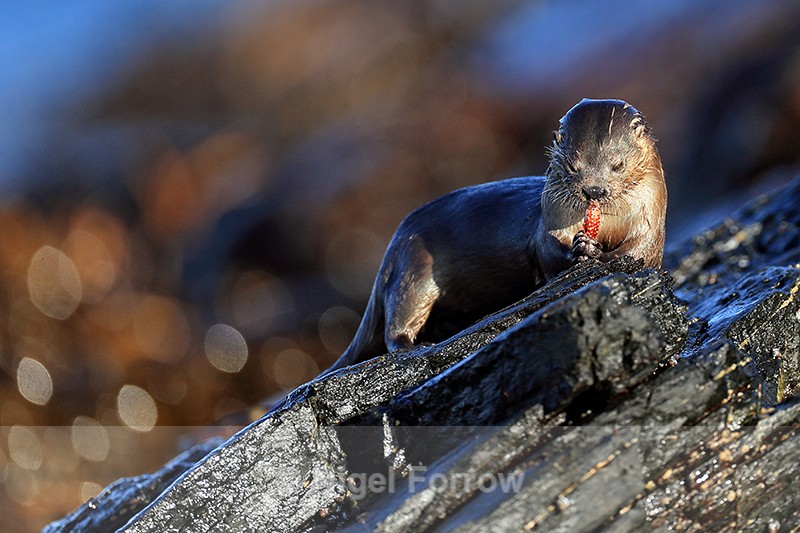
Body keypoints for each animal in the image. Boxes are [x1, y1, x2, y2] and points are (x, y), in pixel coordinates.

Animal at [323, 98, 666, 374]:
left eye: (617, 164)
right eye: (572, 166)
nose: (594, 189)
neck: (610, 223)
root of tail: (392, 247)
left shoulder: (651, 225)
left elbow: (638, 251)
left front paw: (599, 253)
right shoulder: (549, 224)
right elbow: (548, 252)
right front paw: (581, 249)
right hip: (414, 268)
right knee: (397, 322)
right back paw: (417, 345)